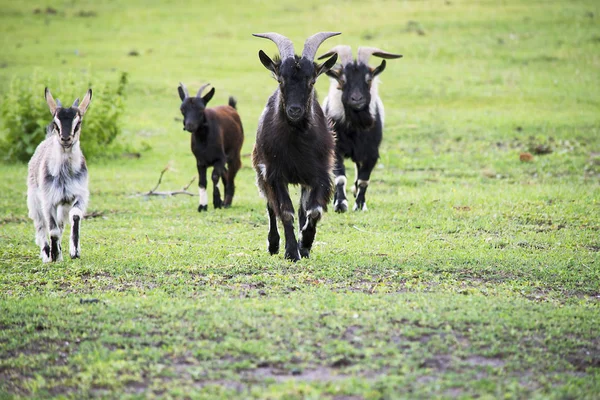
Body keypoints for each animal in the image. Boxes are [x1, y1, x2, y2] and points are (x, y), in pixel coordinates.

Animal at [27, 87, 92, 262]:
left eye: (78, 123)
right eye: (55, 123)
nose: (65, 138)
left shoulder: (78, 194)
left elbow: (74, 216)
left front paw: (74, 252)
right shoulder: (48, 199)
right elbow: (53, 229)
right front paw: (54, 256)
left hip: (62, 205)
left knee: (61, 224)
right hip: (34, 200)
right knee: (41, 225)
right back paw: (46, 254)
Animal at [178, 82, 244, 211]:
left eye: (201, 108)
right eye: (182, 109)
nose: (190, 125)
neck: (204, 140)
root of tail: (231, 108)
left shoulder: (220, 158)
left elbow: (214, 177)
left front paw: (217, 202)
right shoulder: (200, 161)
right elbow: (202, 182)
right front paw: (202, 206)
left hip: (234, 152)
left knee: (232, 172)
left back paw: (227, 202)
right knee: (226, 173)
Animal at [251, 32, 340, 262]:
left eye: (312, 80)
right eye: (281, 79)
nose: (294, 110)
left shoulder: (319, 174)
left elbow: (313, 211)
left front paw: (305, 243)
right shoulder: (274, 174)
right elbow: (284, 211)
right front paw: (291, 252)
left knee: (302, 209)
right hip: (261, 171)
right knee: (271, 206)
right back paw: (274, 244)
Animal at [318, 46, 404, 212]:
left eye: (368, 79)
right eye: (342, 80)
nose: (357, 99)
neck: (355, 128)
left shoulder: (371, 153)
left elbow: (363, 180)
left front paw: (360, 205)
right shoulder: (337, 149)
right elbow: (340, 177)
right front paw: (340, 204)